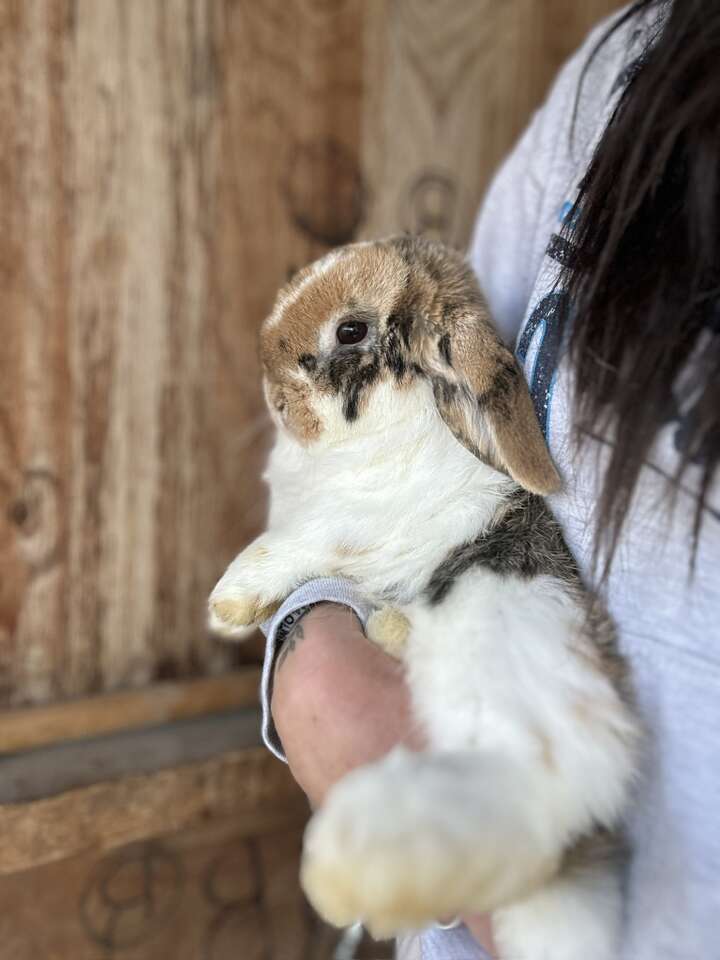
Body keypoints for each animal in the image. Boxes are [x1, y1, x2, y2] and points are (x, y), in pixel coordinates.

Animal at [210, 234, 640, 960]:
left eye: (350, 330)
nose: (272, 392)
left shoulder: (343, 526)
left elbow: (288, 546)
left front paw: (226, 606)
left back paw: (343, 874)